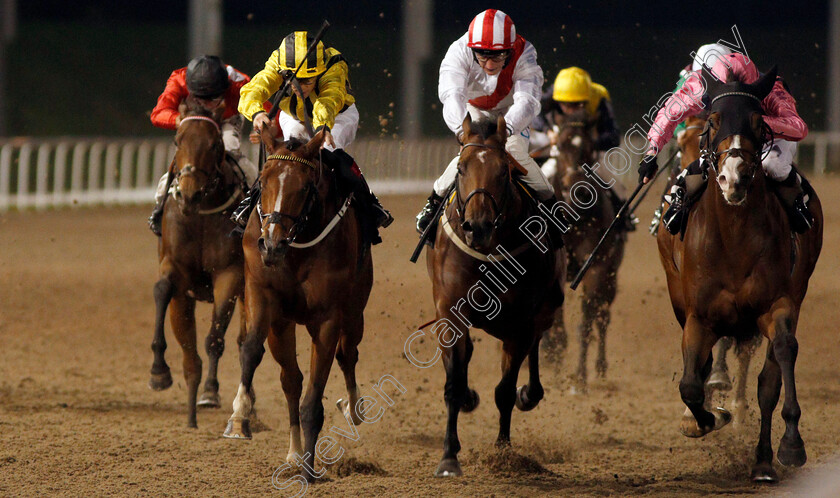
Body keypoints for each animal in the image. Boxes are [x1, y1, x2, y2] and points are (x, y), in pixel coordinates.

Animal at [149, 98, 248, 428]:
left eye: (215, 143)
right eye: (177, 141)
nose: (189, 194)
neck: (202, 214)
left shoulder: (230, 274)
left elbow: (214, 339)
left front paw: (210, 392)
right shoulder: (175, 271)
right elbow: (162, 291)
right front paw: (159, 372)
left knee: (243, 340)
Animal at [223, 128, 370, 482]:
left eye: (304, 187)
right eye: (263, 180)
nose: (271, 244)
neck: (297, 248)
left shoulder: (329, 319)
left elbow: (313, 401)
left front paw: (309, 470)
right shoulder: (262, 296)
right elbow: (251, 349)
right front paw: (239, 418)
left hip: (355, 312)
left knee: (348, 355)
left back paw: (352, 410)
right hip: (283, 324)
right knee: (291, 380)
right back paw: (293, 453)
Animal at [426, 115, 564, 476]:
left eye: (504, 171)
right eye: (461, 168)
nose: (478, 227)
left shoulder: (522, 323)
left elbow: (504, 390)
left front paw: (503, 453)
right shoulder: (450, 312)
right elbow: (453, 384)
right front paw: (449, 456)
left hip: (543, 311)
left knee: (533, 352)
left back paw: (529, 393)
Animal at [540, 112, 628, 392]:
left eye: (589, 148)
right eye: (560, 147)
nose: (575, 187)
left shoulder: (597, 267)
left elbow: (588, 320)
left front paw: (579, 375)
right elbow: (557, 325)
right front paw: (556, 363)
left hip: (612, 277)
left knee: (603, 317)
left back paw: (600, 367)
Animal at [652, 67, 824, 482]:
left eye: (759, 123)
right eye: (713, 122)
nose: (735, 177)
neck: (734, 237)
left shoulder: (778, 304)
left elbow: (780, 360)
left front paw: (790, 444)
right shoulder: (697, 315)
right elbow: (690, 383)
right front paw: (702, 418)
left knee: (768, 378)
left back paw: (762, 460)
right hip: (678, 296)